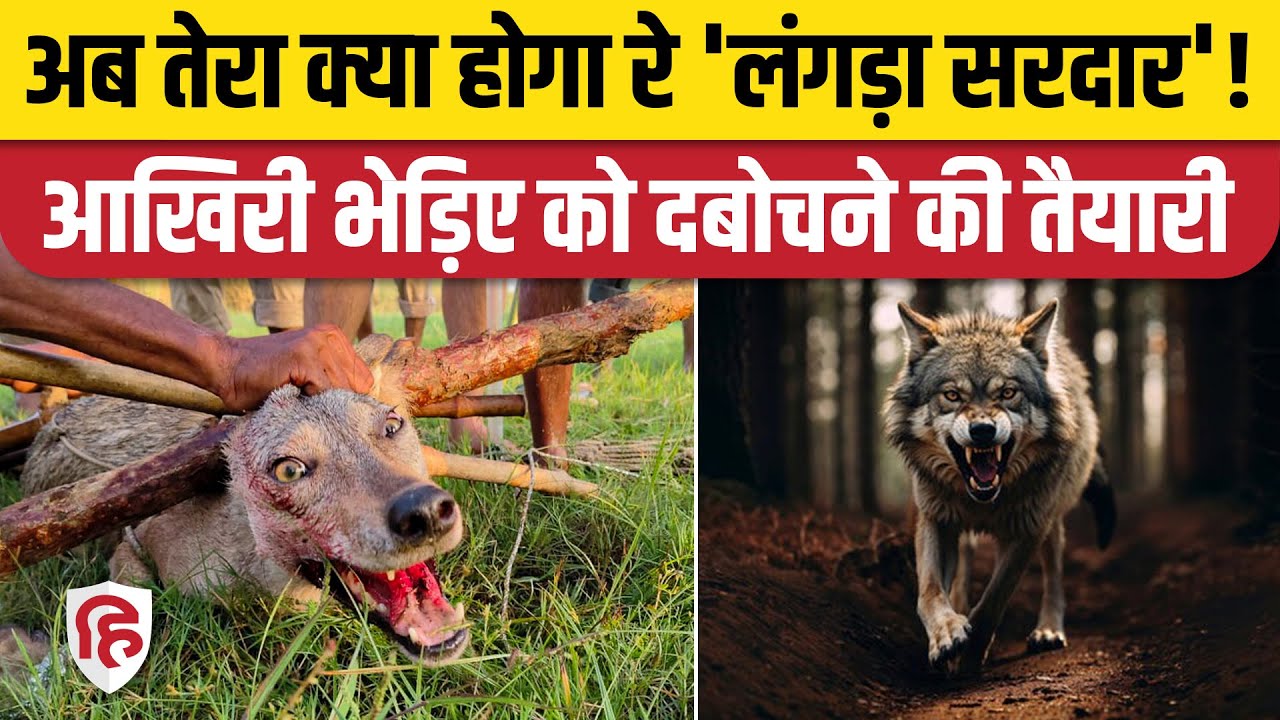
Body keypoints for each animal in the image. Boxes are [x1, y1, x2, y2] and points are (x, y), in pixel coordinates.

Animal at [883, 299, 1116, 674]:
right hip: (963, 535)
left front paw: (969, 658)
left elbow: (994, 600)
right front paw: (947, 636)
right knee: (961, 575)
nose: (982, 431)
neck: (983, 502)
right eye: (952, 395)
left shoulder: (1027, 530)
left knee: (1053, 575)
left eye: (1008, 393)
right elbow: (930, 592)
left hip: (1051, 525)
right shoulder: (935, 519)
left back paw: (1048, 630)